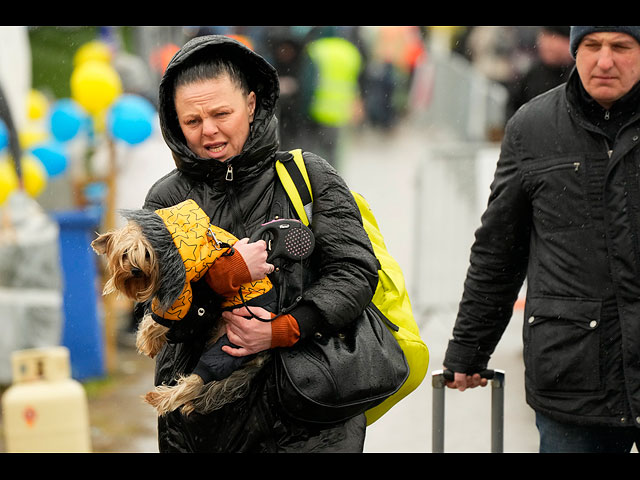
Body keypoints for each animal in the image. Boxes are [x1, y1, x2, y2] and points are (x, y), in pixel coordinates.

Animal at [92, 199, 276, 416]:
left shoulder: (182, 288)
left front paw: (148, 339)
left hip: (235, 341)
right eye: (125, 254)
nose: (135, 270)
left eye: (147, 254)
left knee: (196, 381)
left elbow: (160, 318)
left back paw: (161, 398)